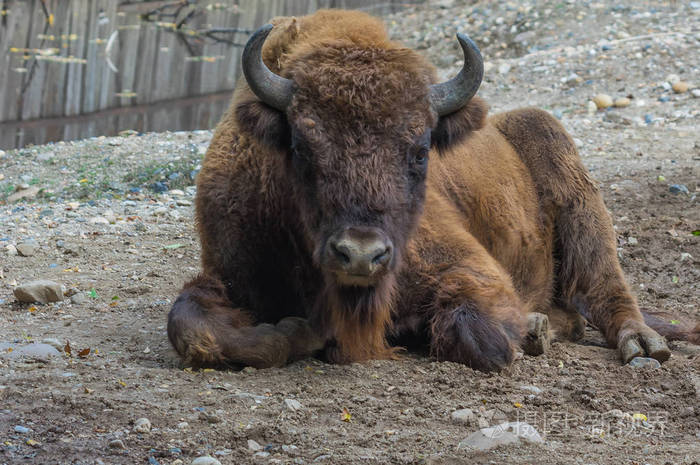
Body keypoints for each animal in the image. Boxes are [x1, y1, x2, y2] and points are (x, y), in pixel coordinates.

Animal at [168, 9, 696, 372]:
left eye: (421, 150)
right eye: (301, 145)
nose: (361, 254)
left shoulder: (471, 267)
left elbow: (477, 332)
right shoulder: (228, 274)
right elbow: (191, 326)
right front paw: (297, 331)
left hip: (570, 180)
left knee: (604, 285)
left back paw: (636, 342)